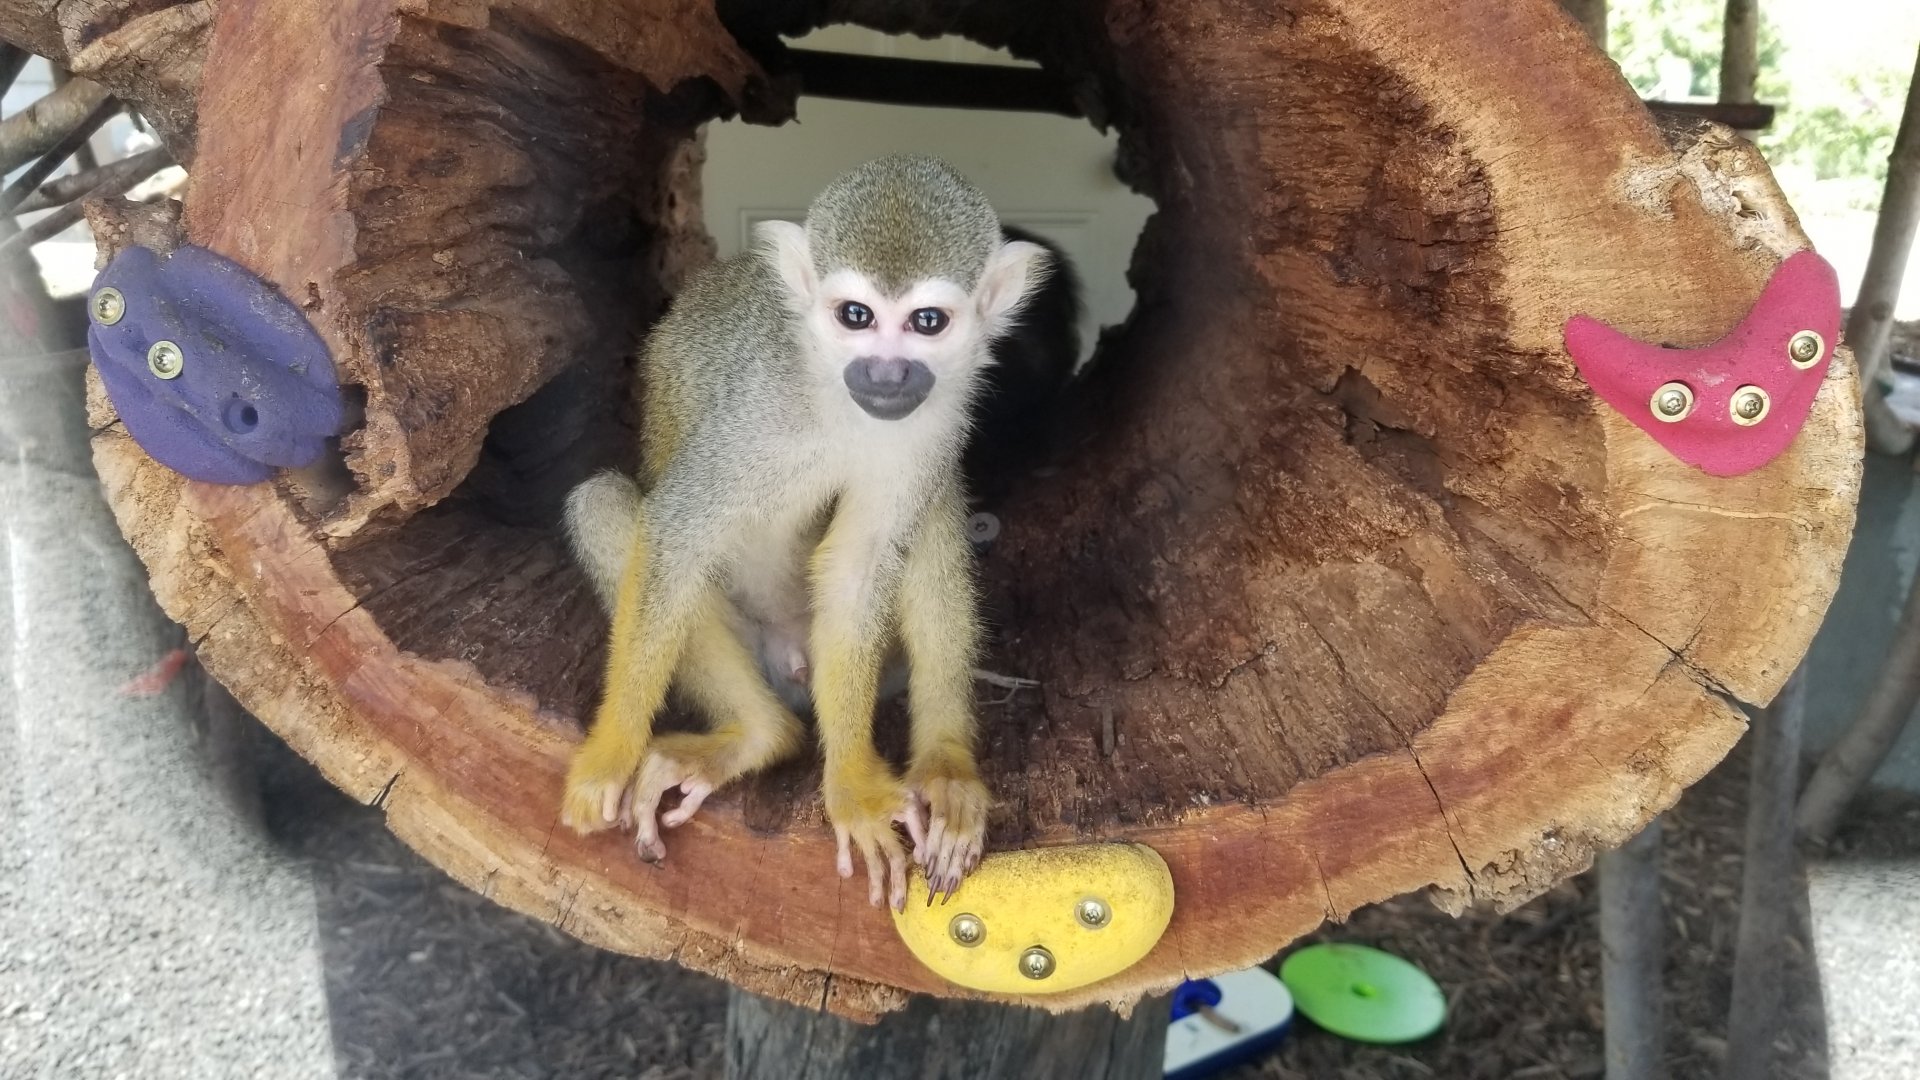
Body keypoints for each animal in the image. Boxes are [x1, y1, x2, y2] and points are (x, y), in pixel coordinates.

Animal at [562, 155, 1050, 910]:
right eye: (855, 316)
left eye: (927, 322)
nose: (885, 373)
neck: (836, 397)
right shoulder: (756, 409)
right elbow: (677, 530)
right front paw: (610, 753)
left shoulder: (931, 422)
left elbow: (859, 566)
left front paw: (853, 790)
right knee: (605, 506)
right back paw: (760, 733)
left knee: (930, 512)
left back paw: (945, 766)